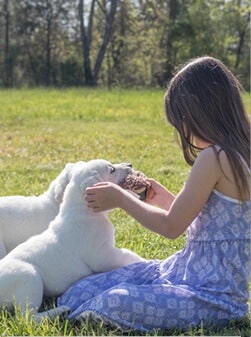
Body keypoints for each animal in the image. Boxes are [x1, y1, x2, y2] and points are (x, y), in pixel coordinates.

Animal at [0, 159, 149, 318]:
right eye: (112, 170)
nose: (130, 165)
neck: (82, 210)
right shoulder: (103, 256)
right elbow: (128, 255)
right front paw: (146, 261)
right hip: (29, 278)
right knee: (28, 316)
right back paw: (60, 311)